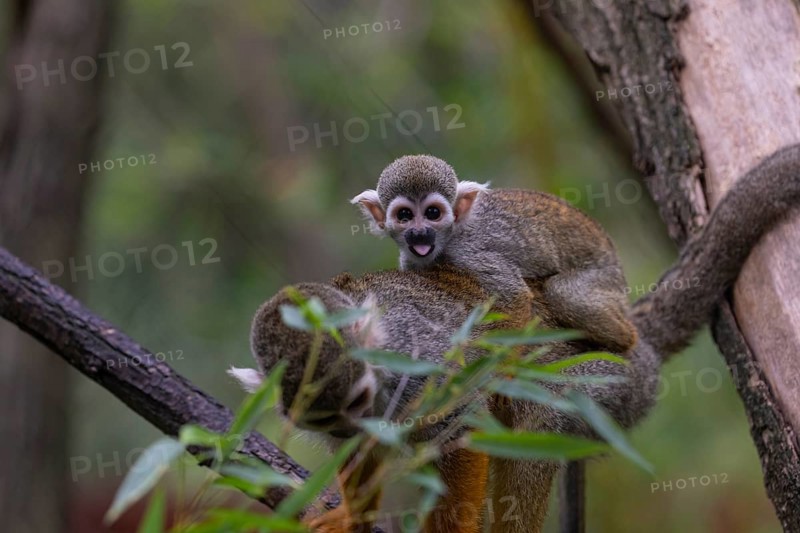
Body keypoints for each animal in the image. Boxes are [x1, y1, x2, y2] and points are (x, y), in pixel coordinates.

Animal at [351, 154, 638, 354]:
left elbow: (515, 299)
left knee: (563, 292)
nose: (419, 233)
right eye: (405, 215)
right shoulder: (411, 259)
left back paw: (623, 340)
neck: (448, 239)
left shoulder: (469, 252)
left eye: (432, 213)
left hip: (604, 276)